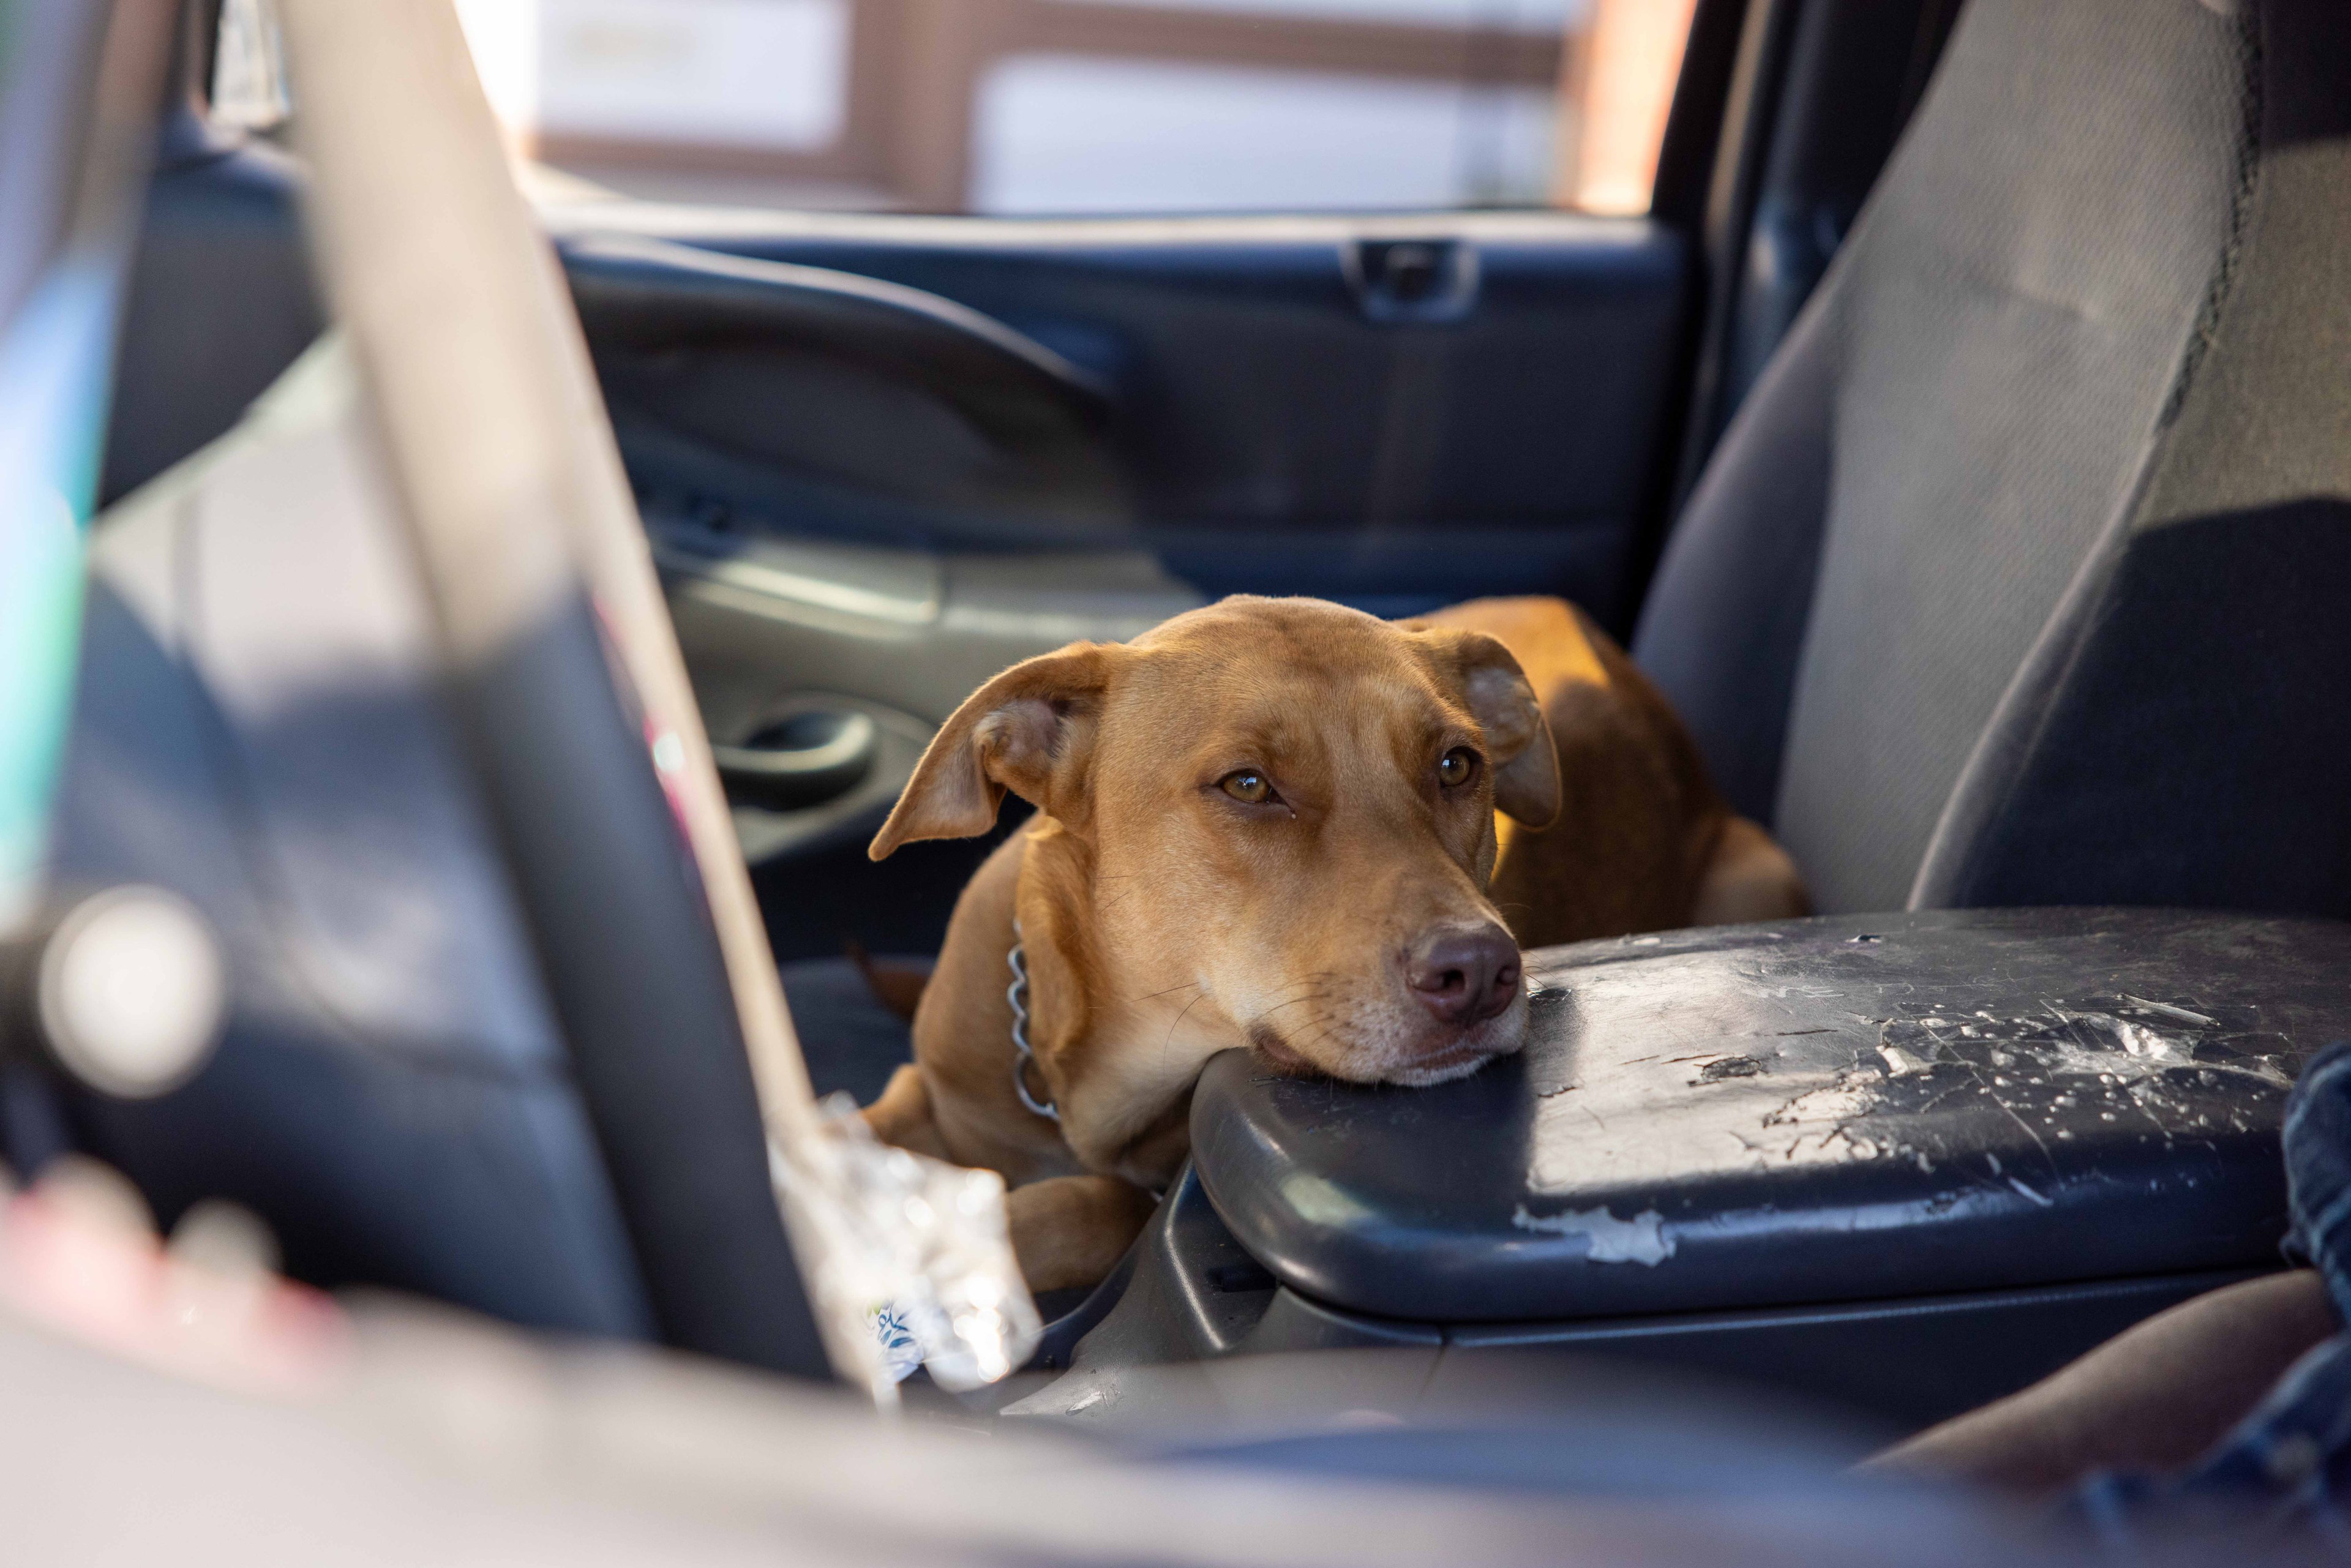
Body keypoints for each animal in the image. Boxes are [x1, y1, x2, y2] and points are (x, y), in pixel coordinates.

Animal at [865, 595, 1796, 1297]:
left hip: (1756, 874)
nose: (1479, 972)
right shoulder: (932, 1089)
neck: (1091, 1078)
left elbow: (1079, 1208)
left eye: (1457, 764)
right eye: (1247, 784)